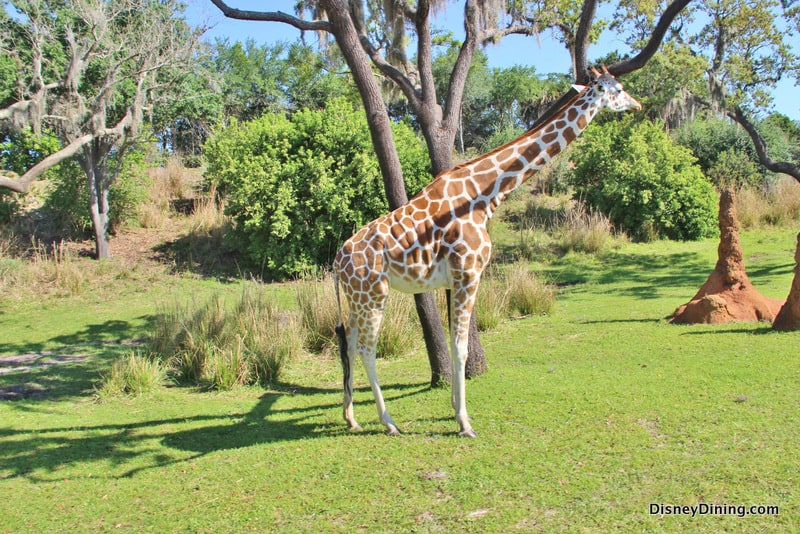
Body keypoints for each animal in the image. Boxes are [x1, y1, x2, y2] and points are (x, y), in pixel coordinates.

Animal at [333, 69, 641, 437]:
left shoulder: (453, 278)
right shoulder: (469, 272)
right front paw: (464, 422)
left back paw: (351, 417)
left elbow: (456, 342)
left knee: (350, 343)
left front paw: (454, 408)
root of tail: (336, 262)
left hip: (356, 298)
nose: (637, 105)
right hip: (374, 294)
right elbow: (461, 347)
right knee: (367, 348)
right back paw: (388, 422)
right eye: (618, 89)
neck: (487, 194)